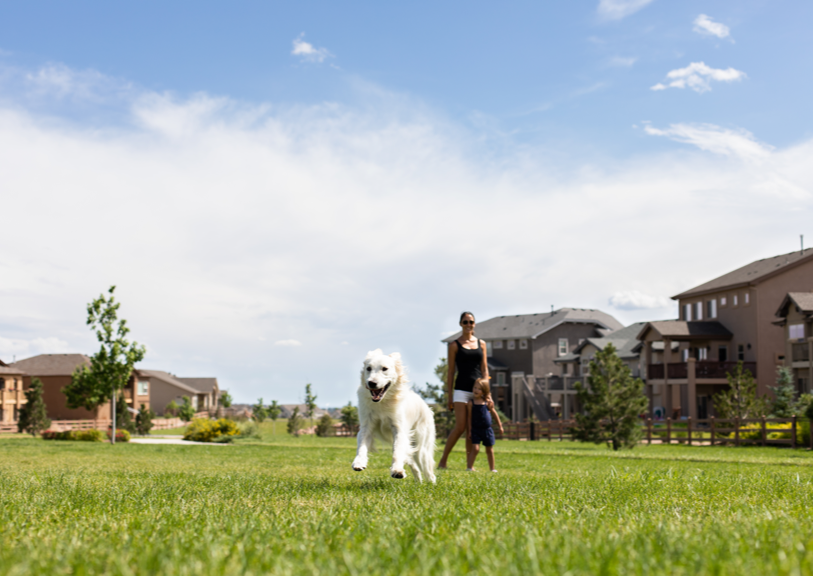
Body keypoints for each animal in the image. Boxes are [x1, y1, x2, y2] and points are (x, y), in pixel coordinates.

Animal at [350, 348, 434, 484]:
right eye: (368, 368)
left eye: (384, 368)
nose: (371, 383)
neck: (383, 401)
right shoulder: (367, 426)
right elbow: (361, 446)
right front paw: (358, 462)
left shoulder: (398, 429)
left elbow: (397, 452)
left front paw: (397, 471)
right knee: (413, 464)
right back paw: (418, 481)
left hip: (421, 450)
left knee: (429, 472)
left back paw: (431, 484)